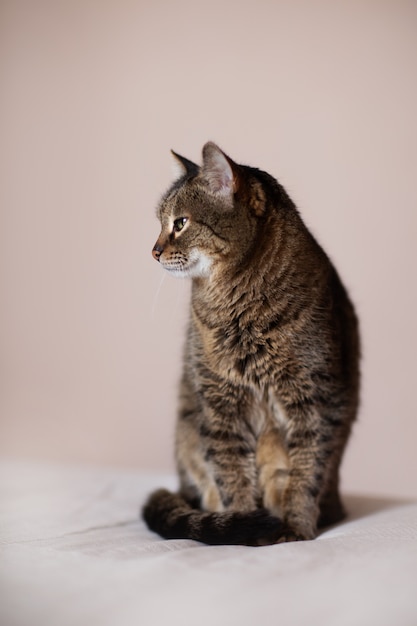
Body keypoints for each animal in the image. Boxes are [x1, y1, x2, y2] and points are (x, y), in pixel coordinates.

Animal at [142, 140, 358, 540]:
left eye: (180, 223)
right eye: (161, 223)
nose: (154, 250)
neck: (238, 306)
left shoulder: (316, 399)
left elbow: (307, 474)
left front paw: (295, 528)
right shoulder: (219, 401)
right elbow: (232, 475)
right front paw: (242, 525)